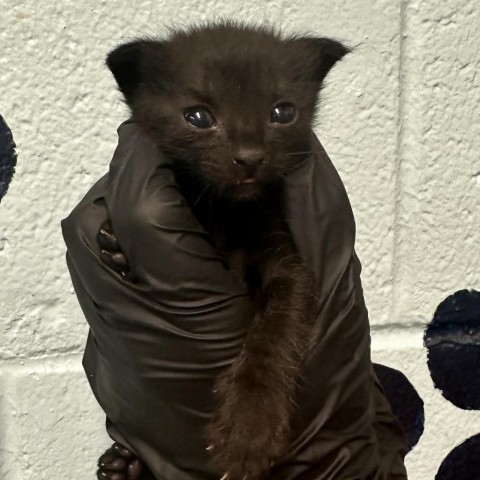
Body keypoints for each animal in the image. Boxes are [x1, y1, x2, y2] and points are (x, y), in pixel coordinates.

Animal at [101, 21, 348, 480]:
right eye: (198, 117)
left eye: (282, 112)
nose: (250, 157)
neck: (225, 215)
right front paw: (119, 250)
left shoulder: (287, 264)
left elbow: (275, 332)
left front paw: (249, 429)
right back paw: (125, 465)